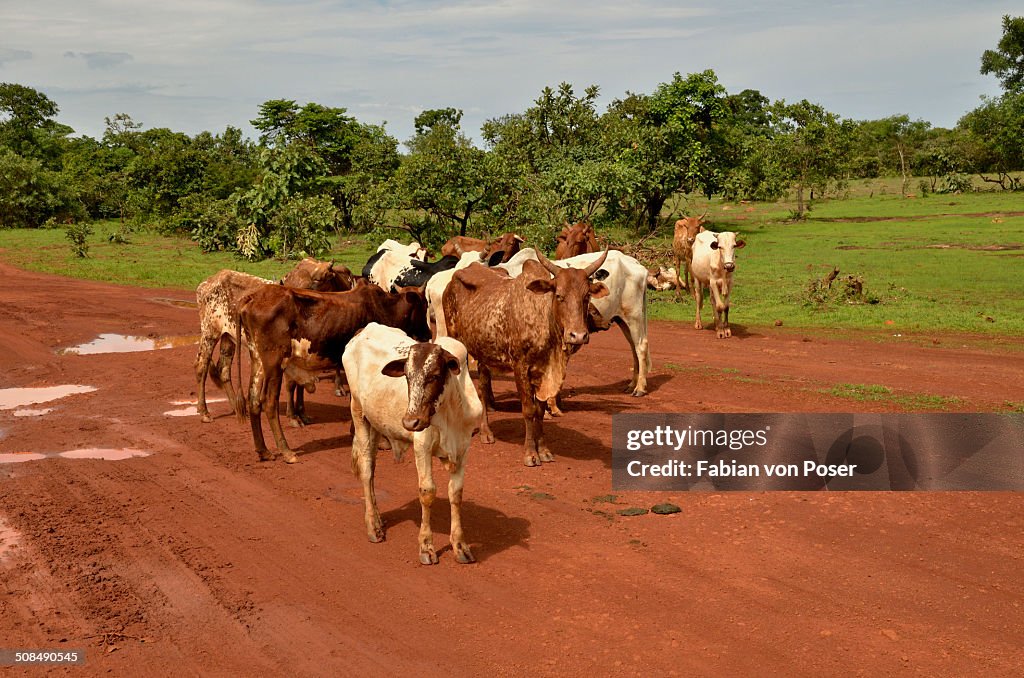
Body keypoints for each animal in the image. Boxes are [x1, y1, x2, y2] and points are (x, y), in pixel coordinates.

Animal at [234, 284, 428, 464]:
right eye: (424, 305)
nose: (428, 333)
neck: (386, 307)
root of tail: (252, 297)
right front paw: (380, 441)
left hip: (258, 361)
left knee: (253, 400)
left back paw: (263, 451)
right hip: (274, 363)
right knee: (269, 403)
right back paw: (286, 451)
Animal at [337, 323, 477, 561]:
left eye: (435, 375)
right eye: (407, 377)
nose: (411, 421)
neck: (451, 409)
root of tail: (364, 330)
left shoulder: (463, 448)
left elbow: (456, 494)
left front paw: (460, 545)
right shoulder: (422, 446)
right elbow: (427, 492)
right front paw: (426, 546)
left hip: (375, 425)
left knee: (372, 469)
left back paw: (378, 519)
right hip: (358, 413)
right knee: (366, 470)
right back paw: (373, 525)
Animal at [442, 249, 602, 467]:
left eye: (586, 296)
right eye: (559, 296)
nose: (577, 335)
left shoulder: (542, 372)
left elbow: (540, 412)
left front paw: (543, 450)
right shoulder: (520, 367)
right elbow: (528, 410)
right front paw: (530, 454)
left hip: (484, 353)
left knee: (483, 388)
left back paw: (485, 431)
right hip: (457, 343)